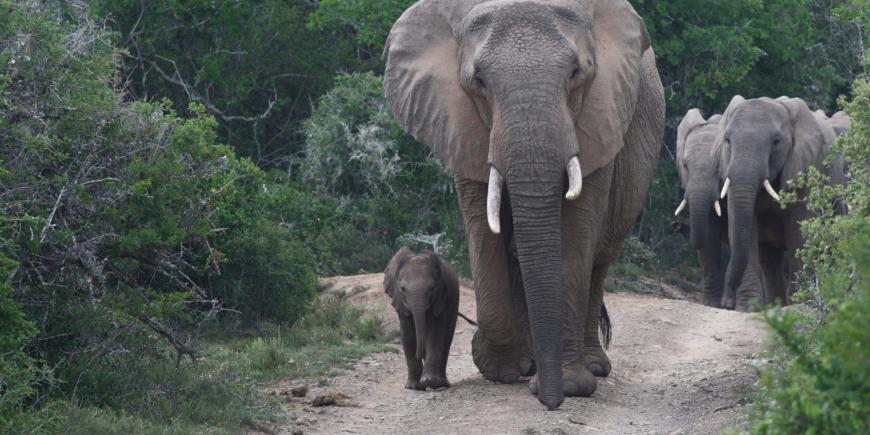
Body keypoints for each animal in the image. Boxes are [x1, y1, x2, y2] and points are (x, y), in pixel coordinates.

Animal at [384, 247, 460, 391]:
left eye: (432, 288)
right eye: (402, 289)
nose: (419, 354)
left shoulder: (441, 299)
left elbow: (435, 334)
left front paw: (430, 382)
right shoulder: (400, 303)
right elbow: (408, 336)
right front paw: (413, 386)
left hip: (454, 303)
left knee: (446, 340)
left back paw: (442, 383)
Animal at [713, 96, 846, 311]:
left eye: (776, 142)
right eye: (727, 141)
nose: (726, 304)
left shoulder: (806, 166)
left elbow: (799, 230)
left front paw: (800, 303)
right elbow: (743, 227)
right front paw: (749, 308)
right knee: (769, 258)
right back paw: (775, 305)